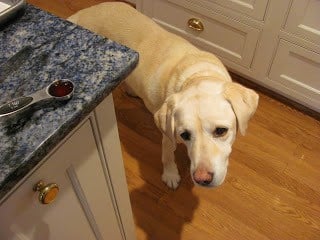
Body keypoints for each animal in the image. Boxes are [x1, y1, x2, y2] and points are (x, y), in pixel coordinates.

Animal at [69, 1, 258, 189]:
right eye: (185, 135)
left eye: (221, 131)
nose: (201, 179)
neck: (198, 74)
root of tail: (81, 13)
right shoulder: (168, 136)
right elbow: (167, 156)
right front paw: (171, 175)